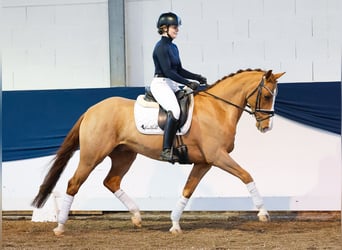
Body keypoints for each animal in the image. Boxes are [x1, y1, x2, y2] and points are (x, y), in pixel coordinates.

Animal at [32, 68, 284, 234]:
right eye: (267, 95)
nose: (266, 127)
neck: (218, 108)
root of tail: (91, 110)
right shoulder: (217, 156)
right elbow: (246, 175)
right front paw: (263, 213)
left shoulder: (204, 162)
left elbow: (188, 190)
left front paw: (174, 224)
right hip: (92, 155)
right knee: (74, 183)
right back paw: (60, 226)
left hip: (125, 155)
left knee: (111, 181)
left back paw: (136, 217)